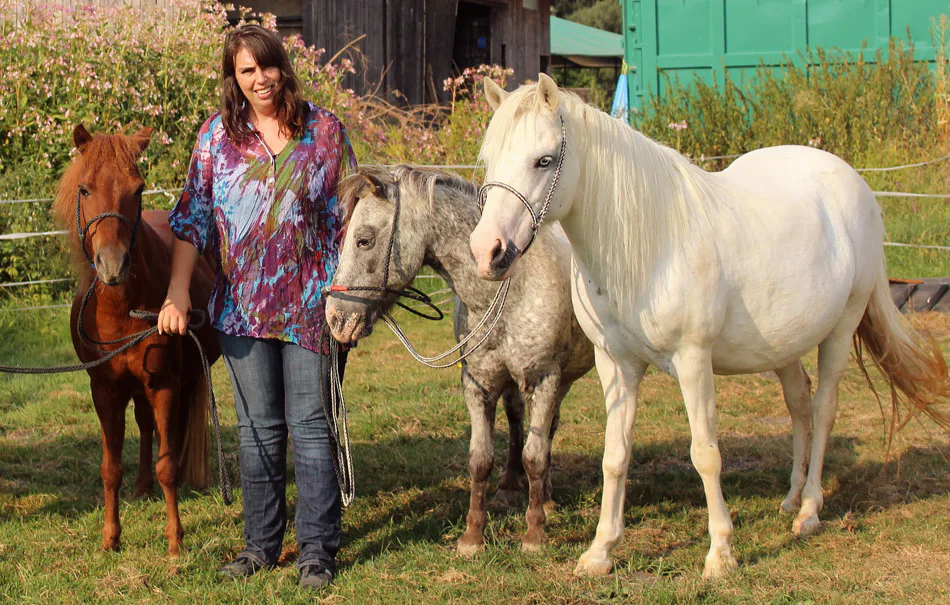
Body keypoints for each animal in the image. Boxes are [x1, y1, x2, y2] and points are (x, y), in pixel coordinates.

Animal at [52, 124, 221, 556]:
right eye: (84, 189)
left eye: (138, 188)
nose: (113, 265)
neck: (121, 310)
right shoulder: (105, 389)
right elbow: (110, 468)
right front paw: (110, 537)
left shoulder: (163, 383)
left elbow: (168, 463)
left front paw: (175, 541)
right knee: (146, 426)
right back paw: (142, 486)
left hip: (182, 378)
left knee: (171, 431)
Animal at [325, 165, 595, 553]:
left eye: (363, 240)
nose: (335, 318)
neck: (507, 287)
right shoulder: (477, 384)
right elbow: (480, 459)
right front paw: (472, 536)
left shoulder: (544, 379)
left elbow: (535, 456)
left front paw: (533, 534)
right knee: (518, 420)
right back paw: (511, 487)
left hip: (562, 379)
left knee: (545, 434)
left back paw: (545, 499)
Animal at [469, 74, 950, 578]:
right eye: (490, 159)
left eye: (543, 160)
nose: (488, 252)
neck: (650, 244)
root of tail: (854, 183)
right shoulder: (616, 365)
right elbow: (615, 456)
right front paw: (600, 552)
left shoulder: (693, 360)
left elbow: (706, 454)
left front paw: (721, 553)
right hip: (783, 346)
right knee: (799, 405)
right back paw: (791, 498)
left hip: (840, 329)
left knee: (822, 410)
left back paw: (809, 511)